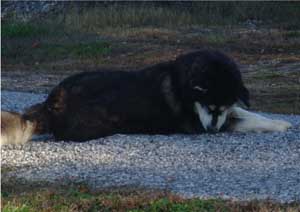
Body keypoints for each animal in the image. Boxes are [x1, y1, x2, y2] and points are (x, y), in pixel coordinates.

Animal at [0, 49, 290, 144]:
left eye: (221, 104)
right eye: (208, 106)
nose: (212, 131)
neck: (182, 85)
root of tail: (52, 102)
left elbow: (244, 112)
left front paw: (280, 123)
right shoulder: (196, 122)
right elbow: (242, 119)